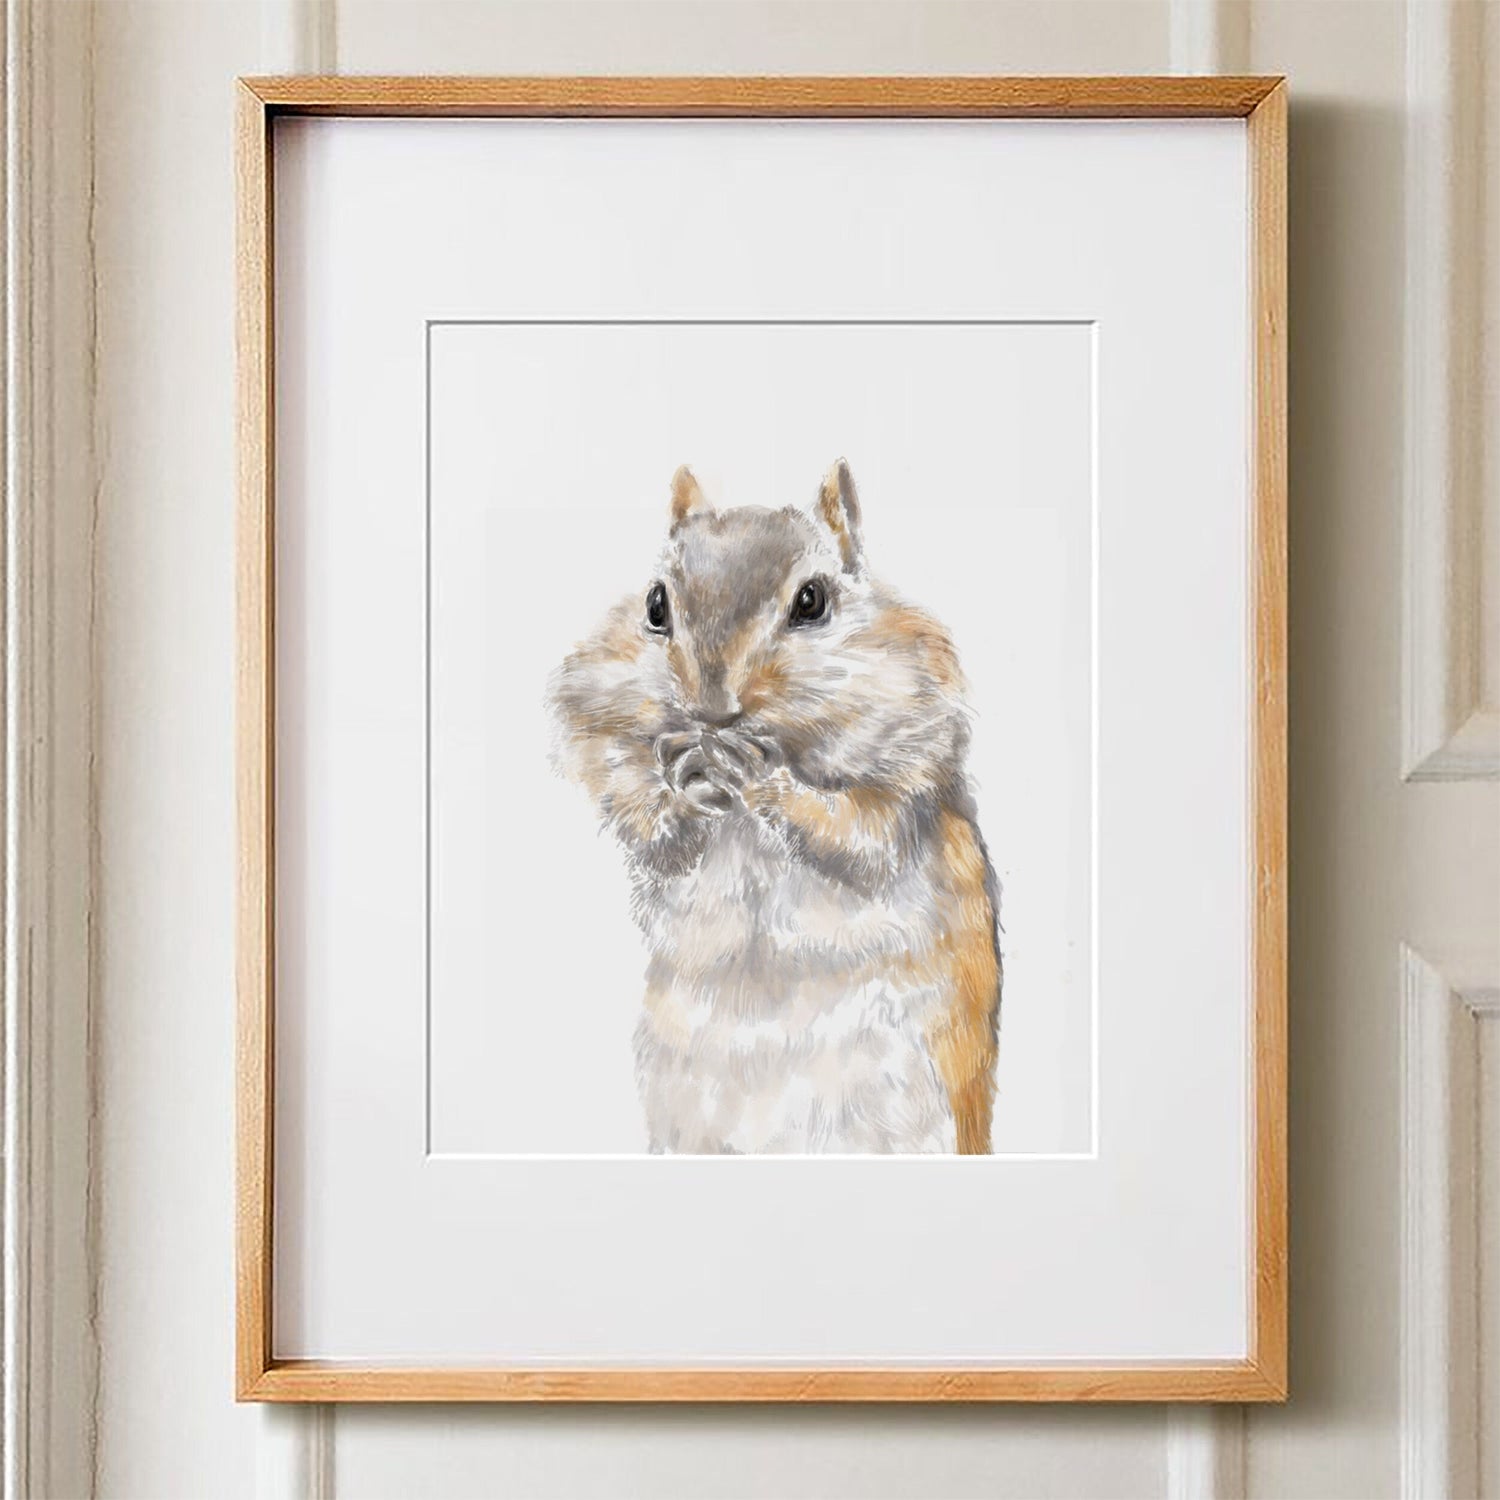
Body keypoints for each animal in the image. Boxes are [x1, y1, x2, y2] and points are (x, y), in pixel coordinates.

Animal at [547, 461, 1001, 1154]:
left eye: (811, 601)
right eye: (655, 605)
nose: (710, 708)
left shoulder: (913, 760)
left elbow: (860, 836)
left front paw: (763, 779)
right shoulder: (601, 733)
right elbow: (639, 810)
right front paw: (682, 794)